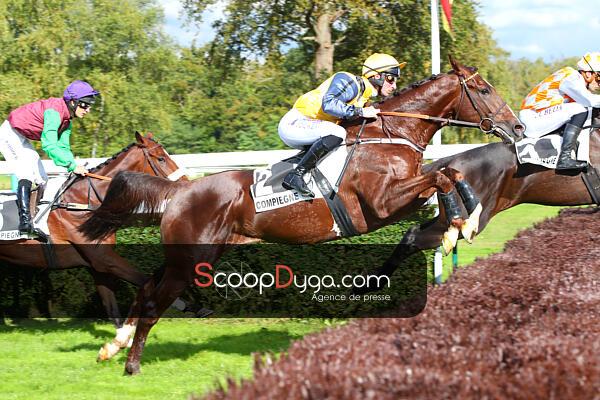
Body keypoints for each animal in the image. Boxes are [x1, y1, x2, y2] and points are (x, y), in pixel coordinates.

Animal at [0, 132, 188, 332]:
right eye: (160, 158)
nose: (187, 185)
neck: (81, 202)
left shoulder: (97, 265)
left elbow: (112, 308)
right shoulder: (103, 258)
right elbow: (146, 282)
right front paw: (183, 304)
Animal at [79, 57, 524, 374]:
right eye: (482, 88)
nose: (517, 127)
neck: (391, 135)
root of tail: (181, 189)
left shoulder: (401, 200)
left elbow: (448, 175)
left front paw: (465, 217)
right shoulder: (381, 203)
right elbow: (440, 177)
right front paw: (458, 225)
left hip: (192, 254)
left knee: (145, 289)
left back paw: (113, 345)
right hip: (191, 259)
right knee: (154, 302)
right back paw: (132, 364)